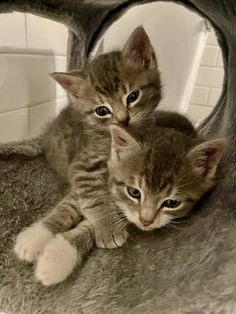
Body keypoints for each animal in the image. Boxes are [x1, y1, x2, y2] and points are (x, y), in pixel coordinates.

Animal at [14, 27, 161, 274]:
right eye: (102, 110)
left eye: (133, 96)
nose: (123, 120)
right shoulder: (84, 165)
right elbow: (90, 199)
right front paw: (108, 228)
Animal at [34, 111, 225, 286]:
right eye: (134, 192)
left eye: (172, 203)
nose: (146, 221)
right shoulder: (95, 174)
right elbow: (76, 202)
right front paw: (36, 237)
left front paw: (56, 257)